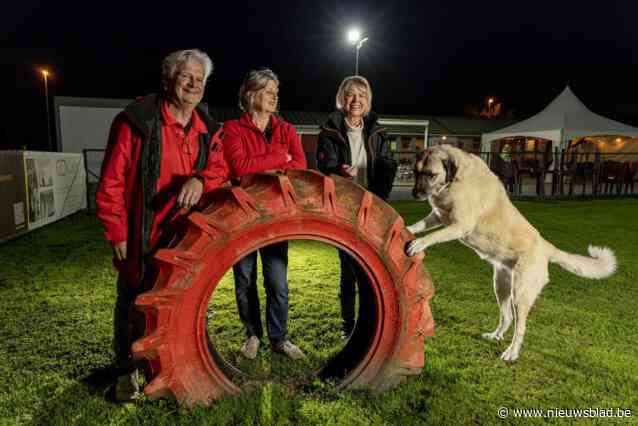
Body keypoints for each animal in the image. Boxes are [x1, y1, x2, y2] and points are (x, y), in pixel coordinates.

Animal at [408, 145, 616, 362]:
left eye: (430, 174)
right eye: (415, 172)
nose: (414, 193)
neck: (456, 181)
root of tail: (546, 246)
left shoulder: (459, 226)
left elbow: (433, 235)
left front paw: (418, 244)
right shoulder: (438, 217)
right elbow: (421, 225)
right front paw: (408, 228)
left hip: (520, 295)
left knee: (520, 328)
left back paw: (511, 353)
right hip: (501, 287)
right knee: (506, 318)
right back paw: (495, 336)